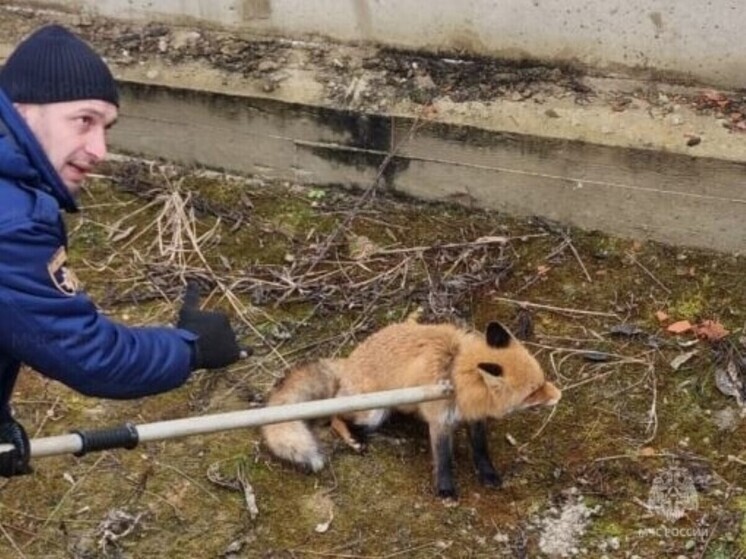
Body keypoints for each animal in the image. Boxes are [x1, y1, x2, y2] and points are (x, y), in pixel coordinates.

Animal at [261, 318, 561, 499]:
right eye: (533, 392)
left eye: (542, 381)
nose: (559, 395)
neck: (454, 371)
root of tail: (347, 363)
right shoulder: (440, 421)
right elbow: (443, 459)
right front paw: (446, 490)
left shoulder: (475, 418)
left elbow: (481, 450)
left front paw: (488, 475)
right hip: (372, 412)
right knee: (335, 416)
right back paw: (355, 439)